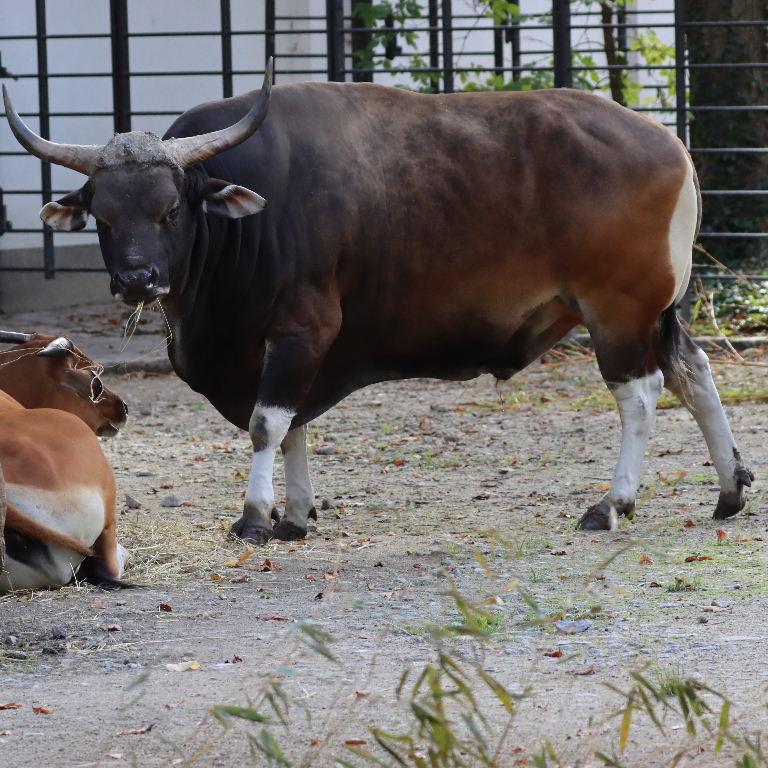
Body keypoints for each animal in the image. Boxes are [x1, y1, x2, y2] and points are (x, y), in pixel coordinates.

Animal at [2, 63, 753, 544]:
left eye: (168, 209)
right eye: (102, 216)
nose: (138, 279)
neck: (240, 225)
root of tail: (670, 141)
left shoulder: (304, 328)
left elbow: (267, 423)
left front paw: (256, 514)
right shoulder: (280, 343)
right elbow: (292, 422)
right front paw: (295, 514)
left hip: (617, 310)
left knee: (642, 394)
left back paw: (613, 502)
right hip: (660, 310)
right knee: (694, 372)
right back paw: (729, 488)